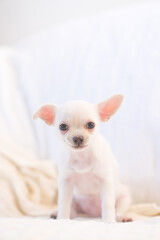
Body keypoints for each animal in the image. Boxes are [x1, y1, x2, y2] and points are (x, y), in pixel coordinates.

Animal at [33, 94, 131, 222]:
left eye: (91, 125)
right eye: (62, 126)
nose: (78, 138)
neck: (82, 156)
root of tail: (92, 213)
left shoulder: (105, 181)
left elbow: (107, 204)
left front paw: (108, 221)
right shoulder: (66, 183)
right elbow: (63, 203)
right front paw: (62, 220)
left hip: (125, 197)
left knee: (118, 210)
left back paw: (122, 217)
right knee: (73, 211)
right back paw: (58, 214)